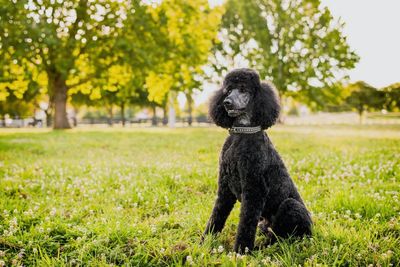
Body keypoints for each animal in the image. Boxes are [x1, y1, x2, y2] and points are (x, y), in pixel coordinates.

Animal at [203, 68, 312, 253]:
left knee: (283, 238)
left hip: (291, 208)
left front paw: (241, 252)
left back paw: (262, 248)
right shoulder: (225, 188)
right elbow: (216, 216)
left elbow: (246, 224)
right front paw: (204, 242)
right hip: (263, 224)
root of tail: (312, 229)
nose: (226, 103)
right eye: (228, 90)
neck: (242, 133)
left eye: (243, 89)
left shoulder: (254, 189)